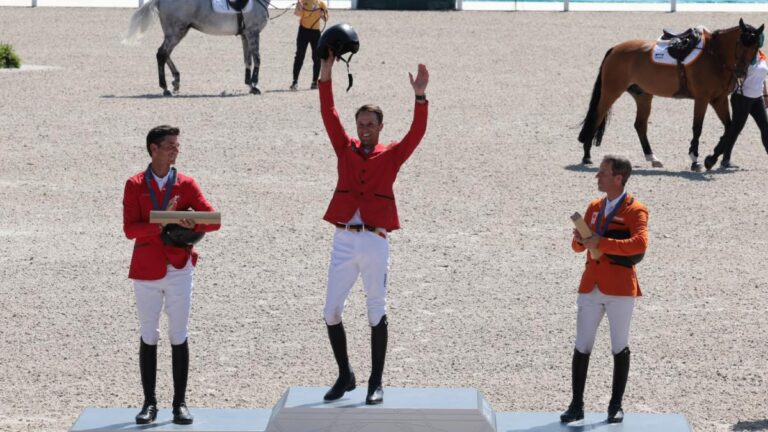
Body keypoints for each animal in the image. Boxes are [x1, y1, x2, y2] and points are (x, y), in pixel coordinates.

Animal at [124, 0, 268, 94]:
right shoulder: (253, 33)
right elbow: (258, 59)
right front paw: (255, 86)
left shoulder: (246, 35)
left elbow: (247, 60)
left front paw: (249, 84)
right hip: (176, 32)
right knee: (162, 54)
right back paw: (165, 88)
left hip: (176, 32)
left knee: (165, 54)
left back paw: (176, 81)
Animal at [576, 19, 760, 170]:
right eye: (739, 43)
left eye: (755, 47)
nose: (741, 72)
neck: (714, 54)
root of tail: (614, 49)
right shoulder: (702, 99)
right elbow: (697, 128)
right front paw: (696, 160)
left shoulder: (718, 99)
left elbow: (730, 127)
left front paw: (711, 159)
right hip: (611, 92)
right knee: (596, 117)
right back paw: (587, 156)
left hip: (643, 96)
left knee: (640, 125)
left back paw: (652, 158)